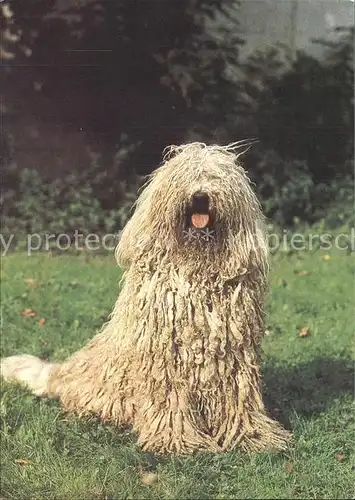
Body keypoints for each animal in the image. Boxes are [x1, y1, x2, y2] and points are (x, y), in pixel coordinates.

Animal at [0, 143, 292, 456]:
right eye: (185, 176)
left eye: (216, 178)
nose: (200, 196)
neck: (196, 269)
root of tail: (62, 373)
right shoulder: (166, 359)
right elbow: (170, 400)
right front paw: (176, 440)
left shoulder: (233, 359)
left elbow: (237, 399)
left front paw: (252, 436)